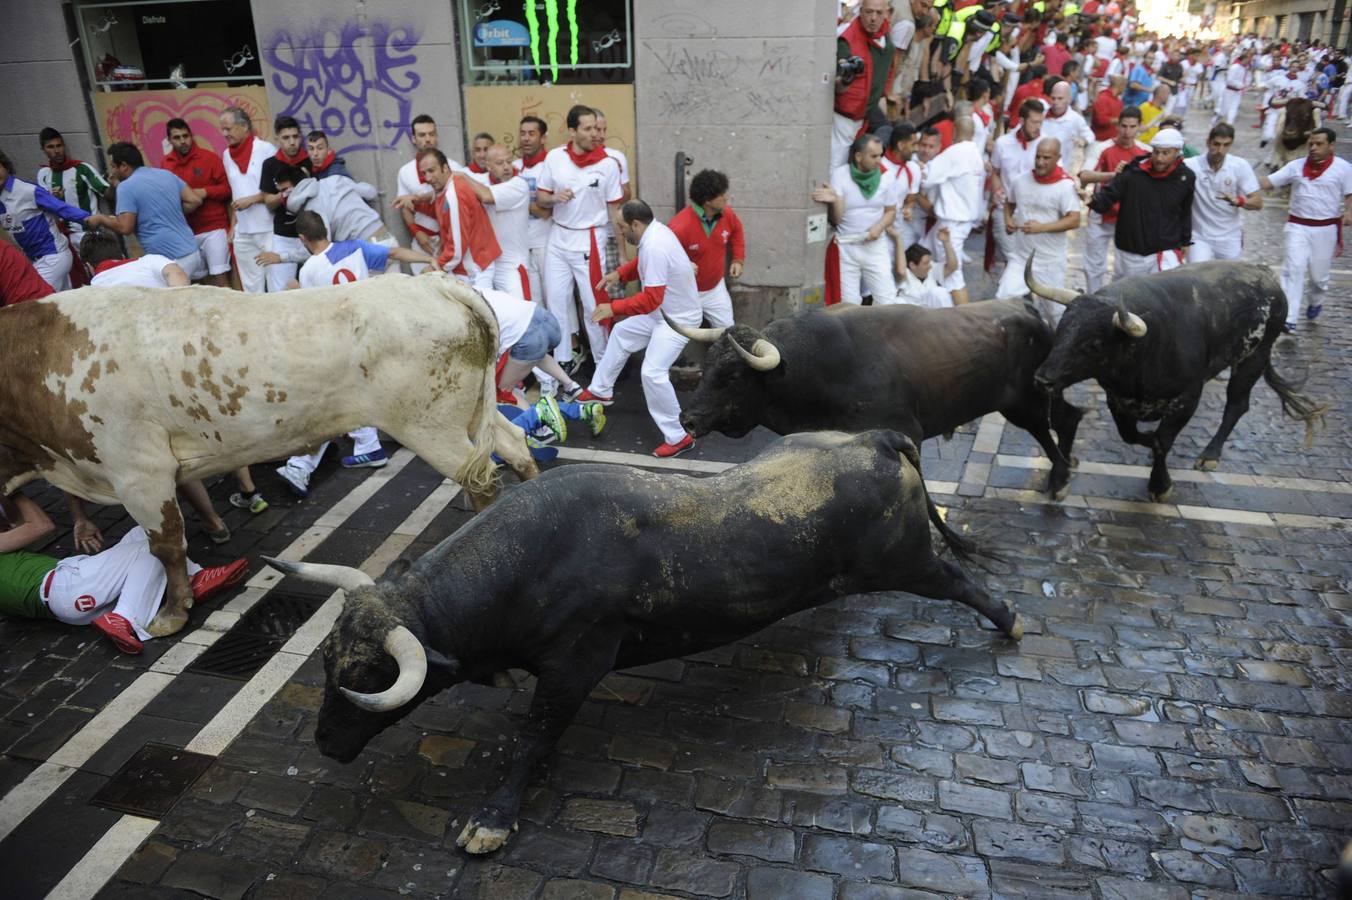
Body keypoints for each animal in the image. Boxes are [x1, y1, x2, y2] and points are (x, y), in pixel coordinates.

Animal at [0, 271, 538, 629]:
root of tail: (434, 283)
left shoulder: (138, 471)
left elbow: (166, 547)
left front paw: (172, 615)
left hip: (430, 426)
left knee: (482, 480)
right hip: (468, 415)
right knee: (516, 448)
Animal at [269, 432, 1016, 854]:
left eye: (369, 676)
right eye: (328, 661)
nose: (325, 744)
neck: (529, 558)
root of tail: (878, 441)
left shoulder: (574, 666)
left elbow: (534, 738)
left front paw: (493, 818)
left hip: (909, 561)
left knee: (959, 580)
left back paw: (1008, 618)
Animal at [676, 301, 1087, 497]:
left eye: (732, 376)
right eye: (705, 366)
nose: (687, 419)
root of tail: (1028, 309)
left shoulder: (907, 432)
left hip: (1027, 401)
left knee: (1052, 428)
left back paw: (1060, 479)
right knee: (1068, 417)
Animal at [1027, 255, 1324, 500]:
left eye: (1094, 344)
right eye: (1061, 330)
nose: (1042, 380)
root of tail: (1266, 275)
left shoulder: (1187, 399)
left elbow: (1162, 441)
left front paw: (1160, 485)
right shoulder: (1118, 401)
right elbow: (1133, 436)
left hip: (1253, 358)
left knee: (1236, 405)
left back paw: (1210, 455)